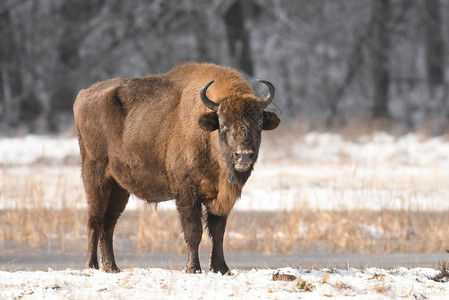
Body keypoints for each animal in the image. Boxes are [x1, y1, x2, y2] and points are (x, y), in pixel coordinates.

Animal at [72, 62, 278, 274]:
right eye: (223, 125)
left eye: (259, 124)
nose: (243, 155)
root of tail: (82, 95)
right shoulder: (186, 193)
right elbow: (194, 231)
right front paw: (193, 268)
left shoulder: (220, 199)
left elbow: (218, 233)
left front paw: (222, 268)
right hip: (95, 177)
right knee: (95, 221)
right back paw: (92, 265)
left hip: (119, 188)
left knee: (109, 223)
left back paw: (112, 267)